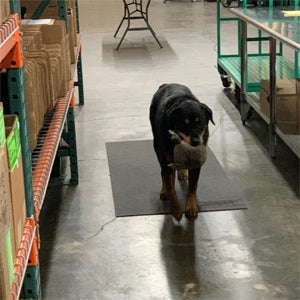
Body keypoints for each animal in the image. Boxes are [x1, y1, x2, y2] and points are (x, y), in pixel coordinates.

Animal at [149, 83, 214, 221]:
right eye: (185, 124)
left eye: (200, 122)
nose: (196, 141)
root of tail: (166, 84)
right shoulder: (167, 159)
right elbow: (171, 186)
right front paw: (176, 210)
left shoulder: (196, 162)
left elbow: (192, 187)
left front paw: (191, 208)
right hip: (157, 146)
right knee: (163, 172)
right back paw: (164, 191)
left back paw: (182, 172)